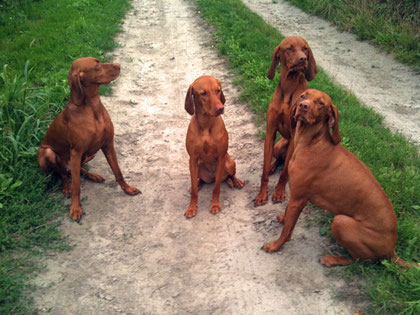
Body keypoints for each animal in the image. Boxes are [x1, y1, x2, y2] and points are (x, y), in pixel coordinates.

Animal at [37, 56, 139, 222]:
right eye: (96, 66)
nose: (118, 64)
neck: (92, 107)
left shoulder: (108, 144)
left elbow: (118, 171)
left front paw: (127, 188)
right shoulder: (76, 152)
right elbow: (77, 187)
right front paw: (75, 208)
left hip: (84, 156)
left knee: (76, 170)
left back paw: (93, 175)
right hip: (47, 153)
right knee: (63, 174)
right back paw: (66, 187)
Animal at [183, 76, 243, 220]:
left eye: (218, 90)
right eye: (203, 93)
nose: (221, 108)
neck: (206, 125)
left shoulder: (221, 157)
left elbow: (216, 187)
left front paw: (215, 205)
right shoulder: (192, 159)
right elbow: (194, 191)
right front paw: (192, 208)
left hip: (229, 163)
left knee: (229, 176)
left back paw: (236, 181)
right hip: (198, 166)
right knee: (200, 181)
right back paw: (198, 184)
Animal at [253, 36, 318, 207]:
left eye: (305, 49)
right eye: (289, 48)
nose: (303, 59)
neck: (288, 88)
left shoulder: (294, 136)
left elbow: (284, 173)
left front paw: (279, 192)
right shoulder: (270, 133)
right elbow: (264, 171)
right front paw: (262, 194)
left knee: (287, 167)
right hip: (278, 145)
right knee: (277, 160)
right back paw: (272, 167)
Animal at [264, 89, 412, 270]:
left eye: (321, 103)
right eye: (303, 96)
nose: (303, 106)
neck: (312, 143)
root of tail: (392, 250)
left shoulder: (298, 198)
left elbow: (287, 231)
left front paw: (275, 245)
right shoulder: (297, 196)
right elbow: (287, 216)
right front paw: (284, 219)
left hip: (340, 221)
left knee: (363, 261)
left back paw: (333, 259)